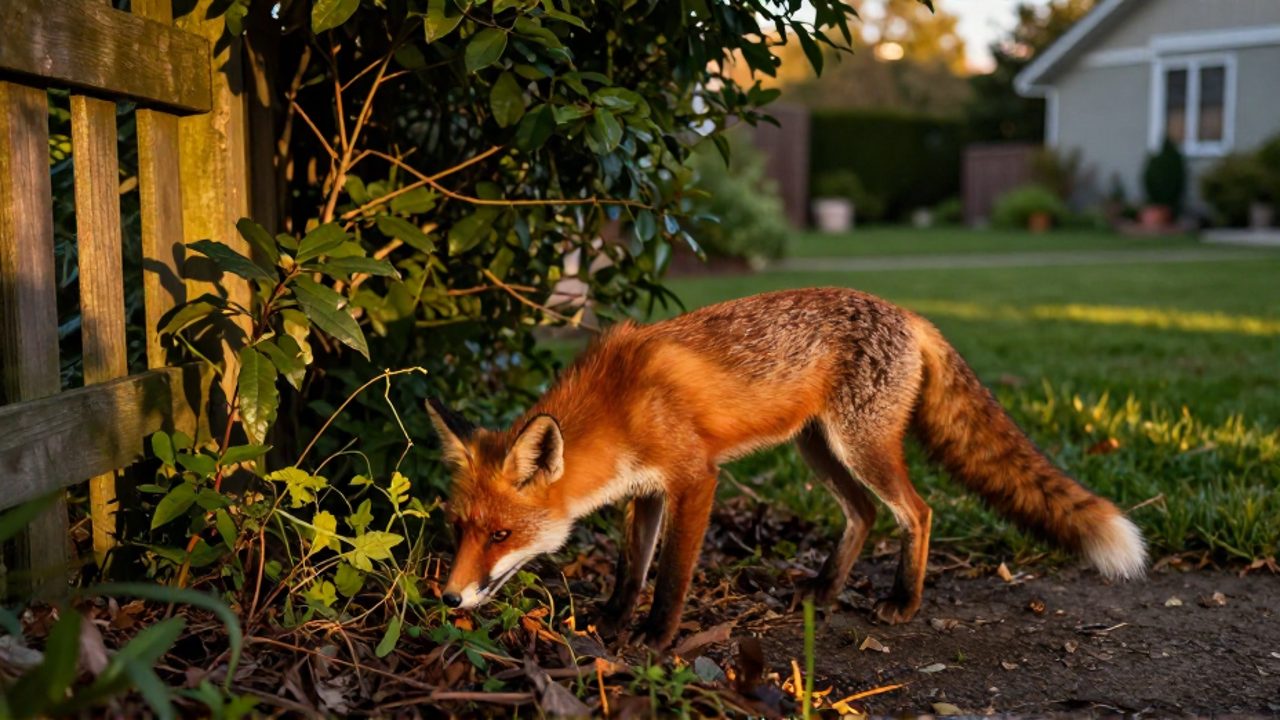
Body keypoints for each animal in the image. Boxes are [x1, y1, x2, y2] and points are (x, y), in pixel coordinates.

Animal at [427, 287, 1146, 650]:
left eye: (501, 535)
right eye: (458, 530)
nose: (448, 598)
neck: (617, 402)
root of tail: (911, 314)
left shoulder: (695, 478)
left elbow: (672, 576)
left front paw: (656, 640)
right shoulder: (646, 490)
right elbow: (632, 570)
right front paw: (609, 625)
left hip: (861, 447)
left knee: (917, 511)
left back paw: (902, 601)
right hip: (819, 449)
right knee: (864, 514)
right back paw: (823, 592)